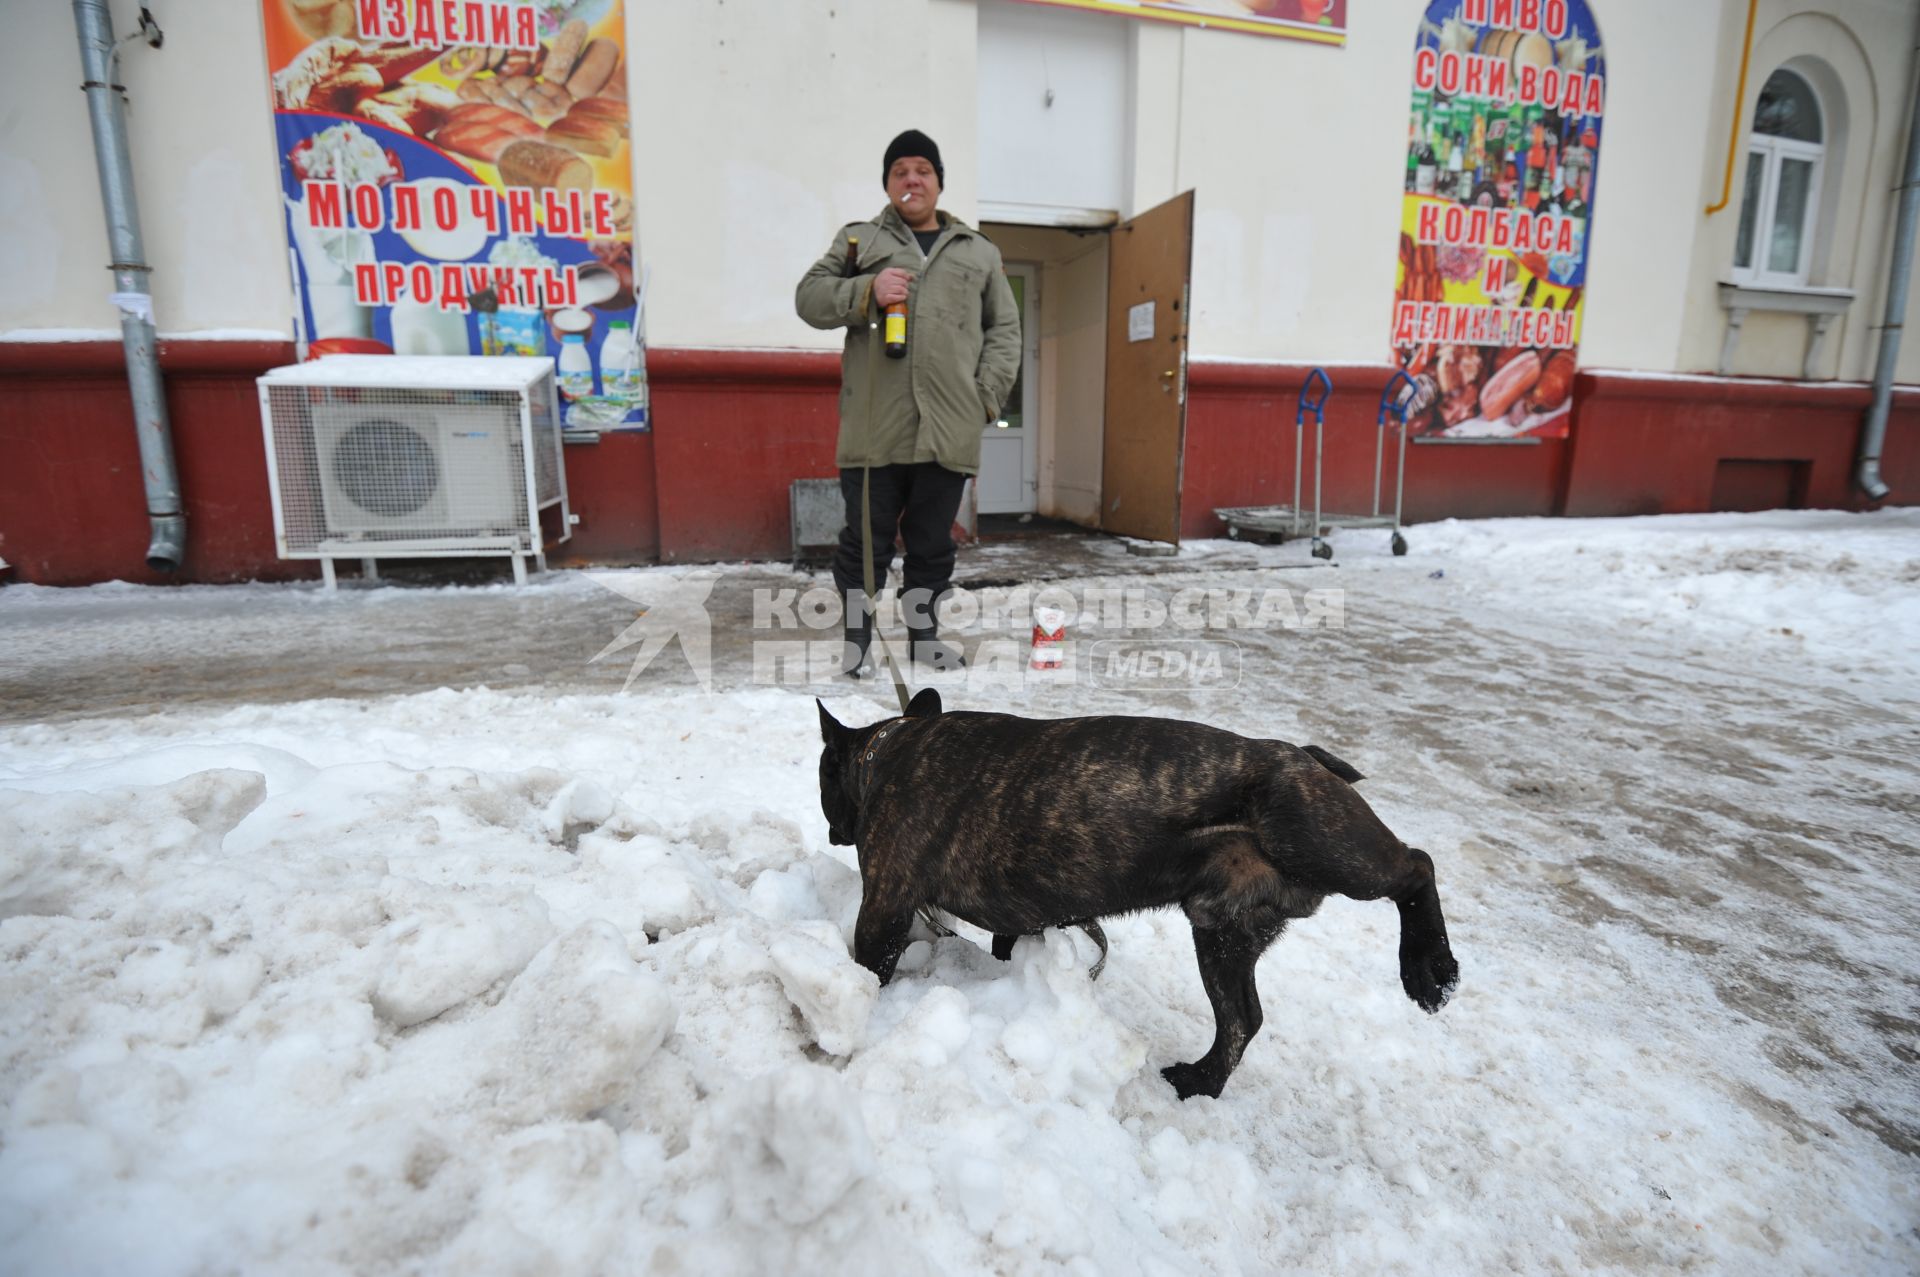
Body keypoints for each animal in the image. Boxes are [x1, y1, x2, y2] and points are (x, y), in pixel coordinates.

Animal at [810, 687, 1451, 1098]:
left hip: (1315, 837)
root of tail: (1310, 760)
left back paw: (1430, 969)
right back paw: (1200, 1082)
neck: (884, 752)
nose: (832, 827)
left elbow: (869, 969)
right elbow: (1006, 945)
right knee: (1241, 1018)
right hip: (1223, 929)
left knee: (1415, 868)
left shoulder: (884, 905)